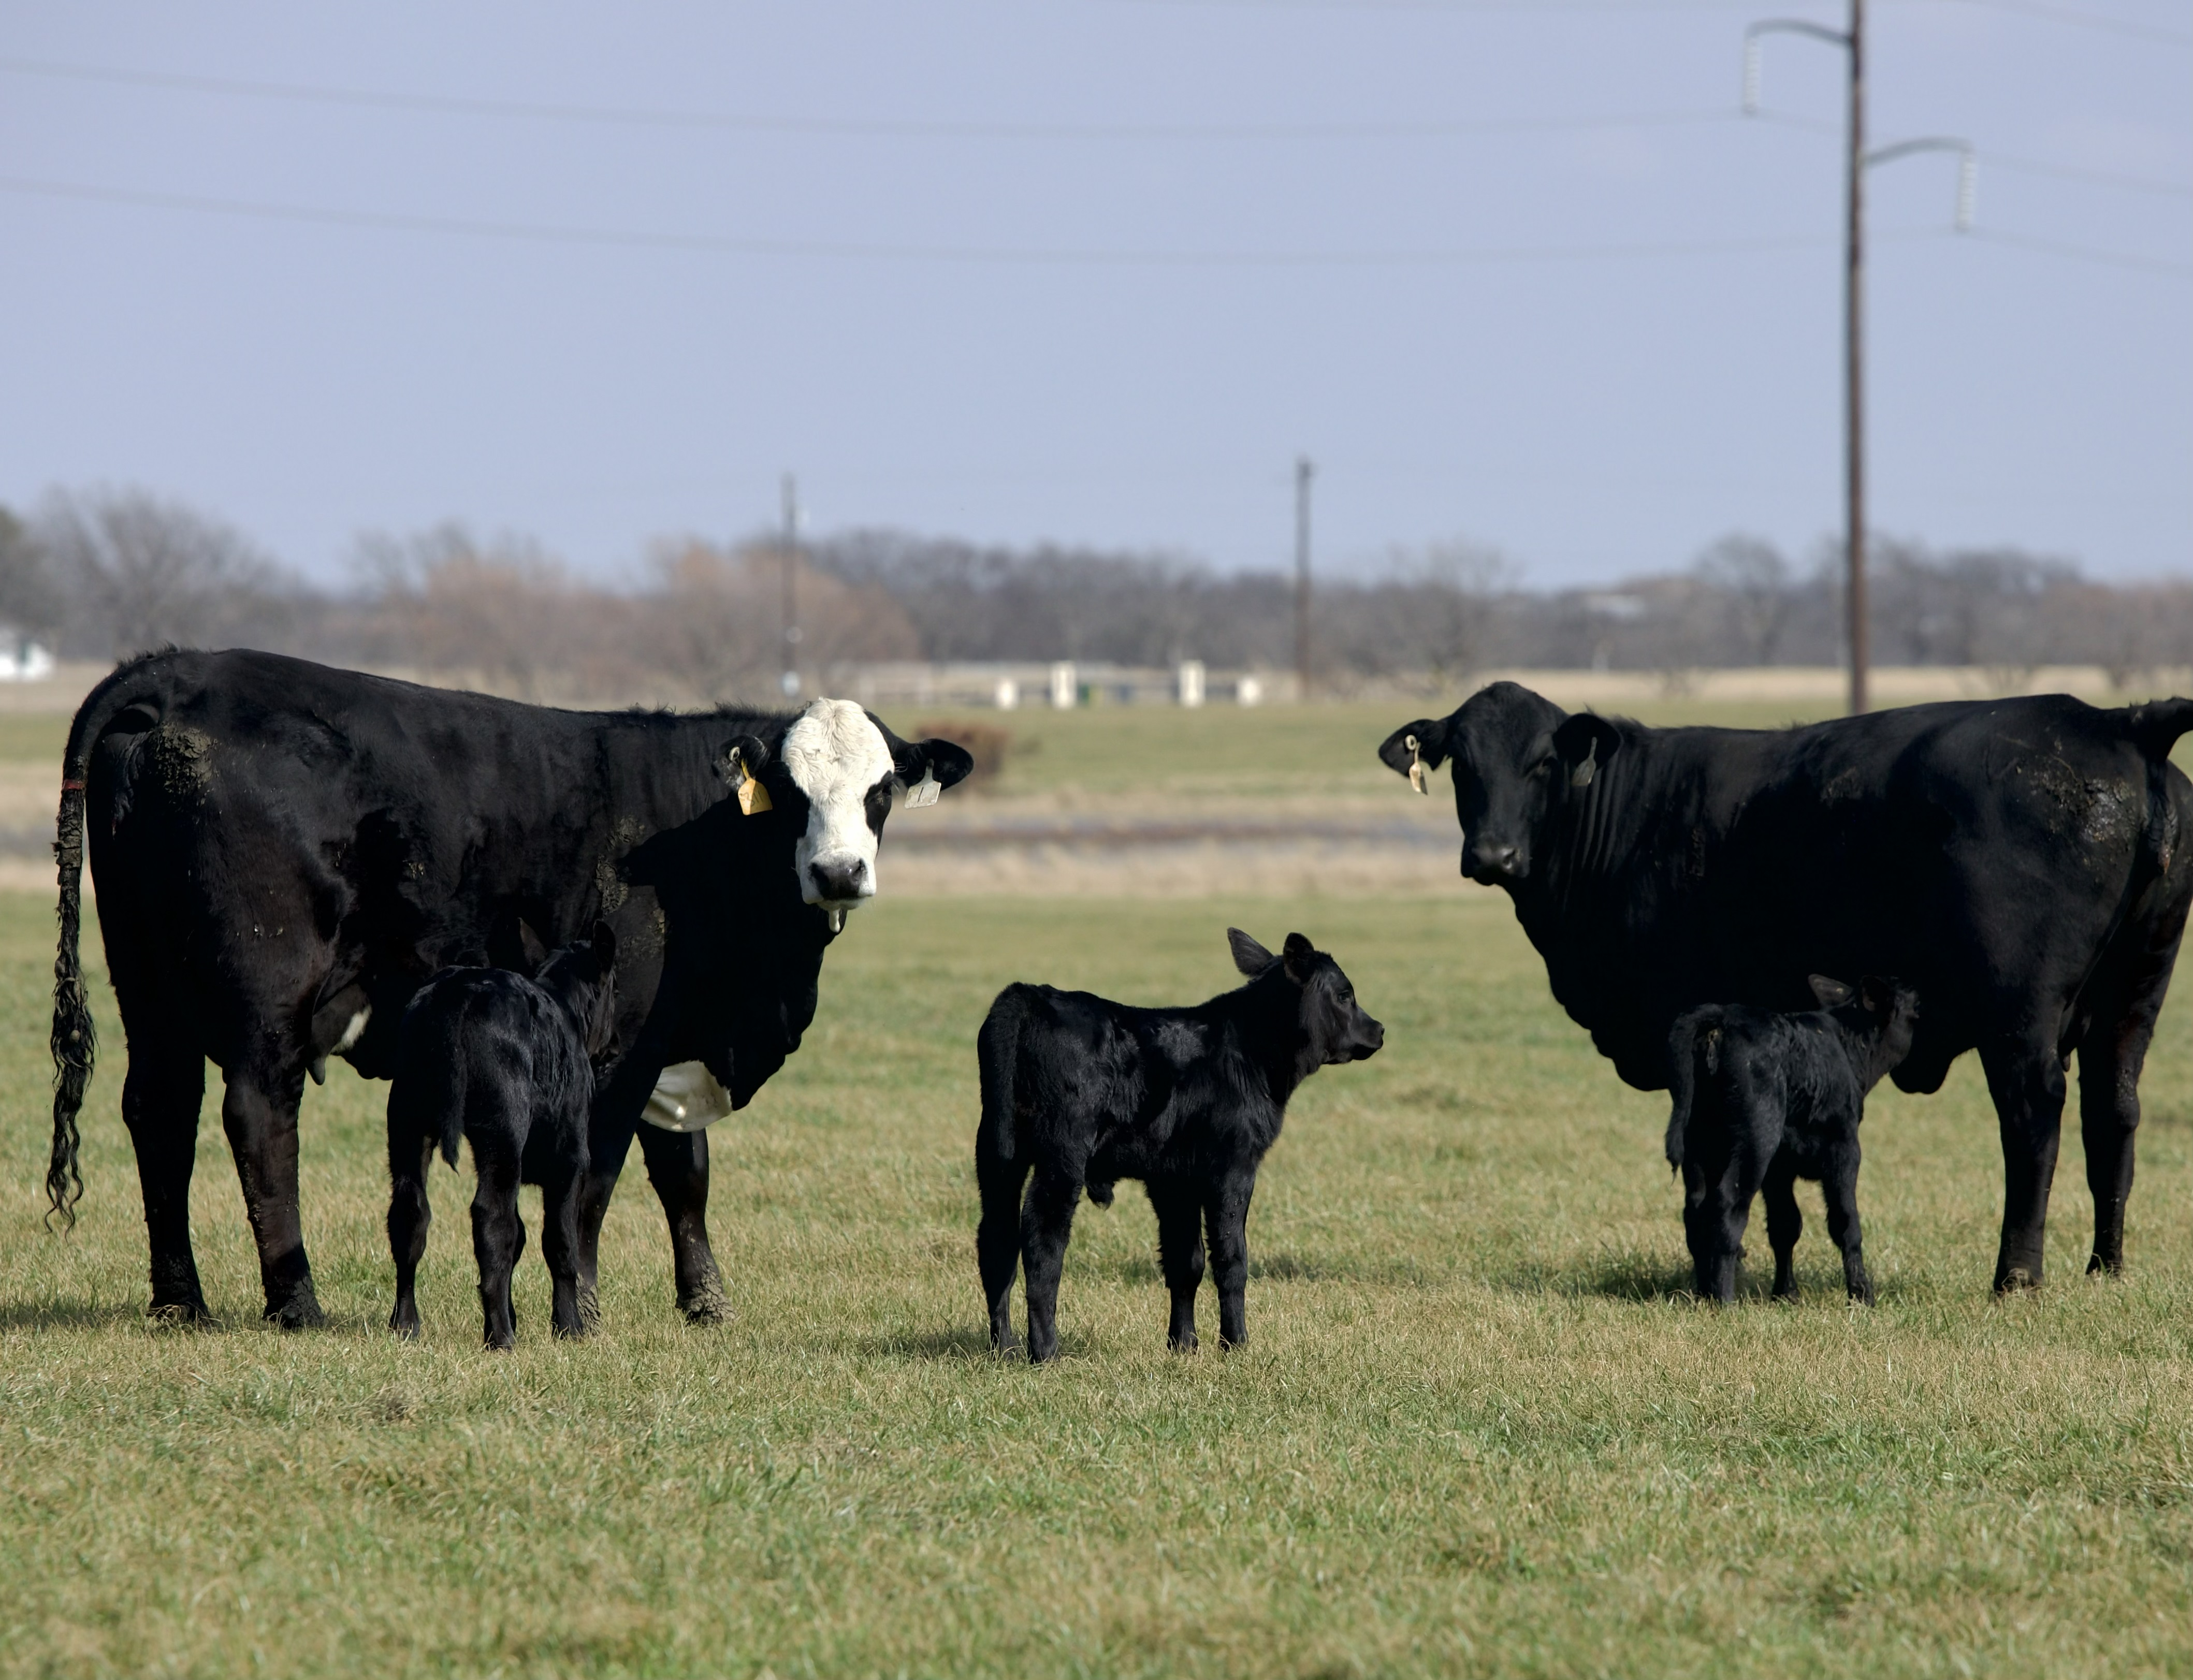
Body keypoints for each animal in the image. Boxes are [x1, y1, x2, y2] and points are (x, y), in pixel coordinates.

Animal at [386, 922, 620, 1348]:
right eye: (615, 989)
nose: (615, 1045)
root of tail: (456, 993)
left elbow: (524, 1237)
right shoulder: (571, 1158)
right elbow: (559, 1241)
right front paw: (570, 1328)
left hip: (407, 1121)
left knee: (410, 1215)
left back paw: (406, 1324)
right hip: (504, 1128)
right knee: (492, 1218)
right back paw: (501, 1337)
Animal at [975, 928, 1385, 1362]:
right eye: (1344, 994)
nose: (1378, 1029)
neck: (1250, 1054)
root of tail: (1028, 994)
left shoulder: (1173, 1179)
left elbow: (1185, 1261)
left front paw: (1183, 1343)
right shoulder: (1234, 1167)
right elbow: (1231, 1258)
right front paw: (1235, 1343)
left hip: (997, 1153)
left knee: (997, 1240)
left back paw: (1003, 1346)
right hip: (1062, 1154)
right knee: (1042, 1237)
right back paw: (1046, 1350)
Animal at [1665, 974, 1919, 1304]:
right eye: (1914, 1014)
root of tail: (1723, 1016)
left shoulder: (1780, 1169)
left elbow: (1785, 1225)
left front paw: (1786, 1293)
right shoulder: (1845, 1148)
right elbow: (1845, 1222)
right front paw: (1862, 1294)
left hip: (1698, 1143)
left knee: (1696, 1210)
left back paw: (1704, 1293)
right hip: (1757, 1138)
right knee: (1728, 1204)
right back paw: (1725, 1300)